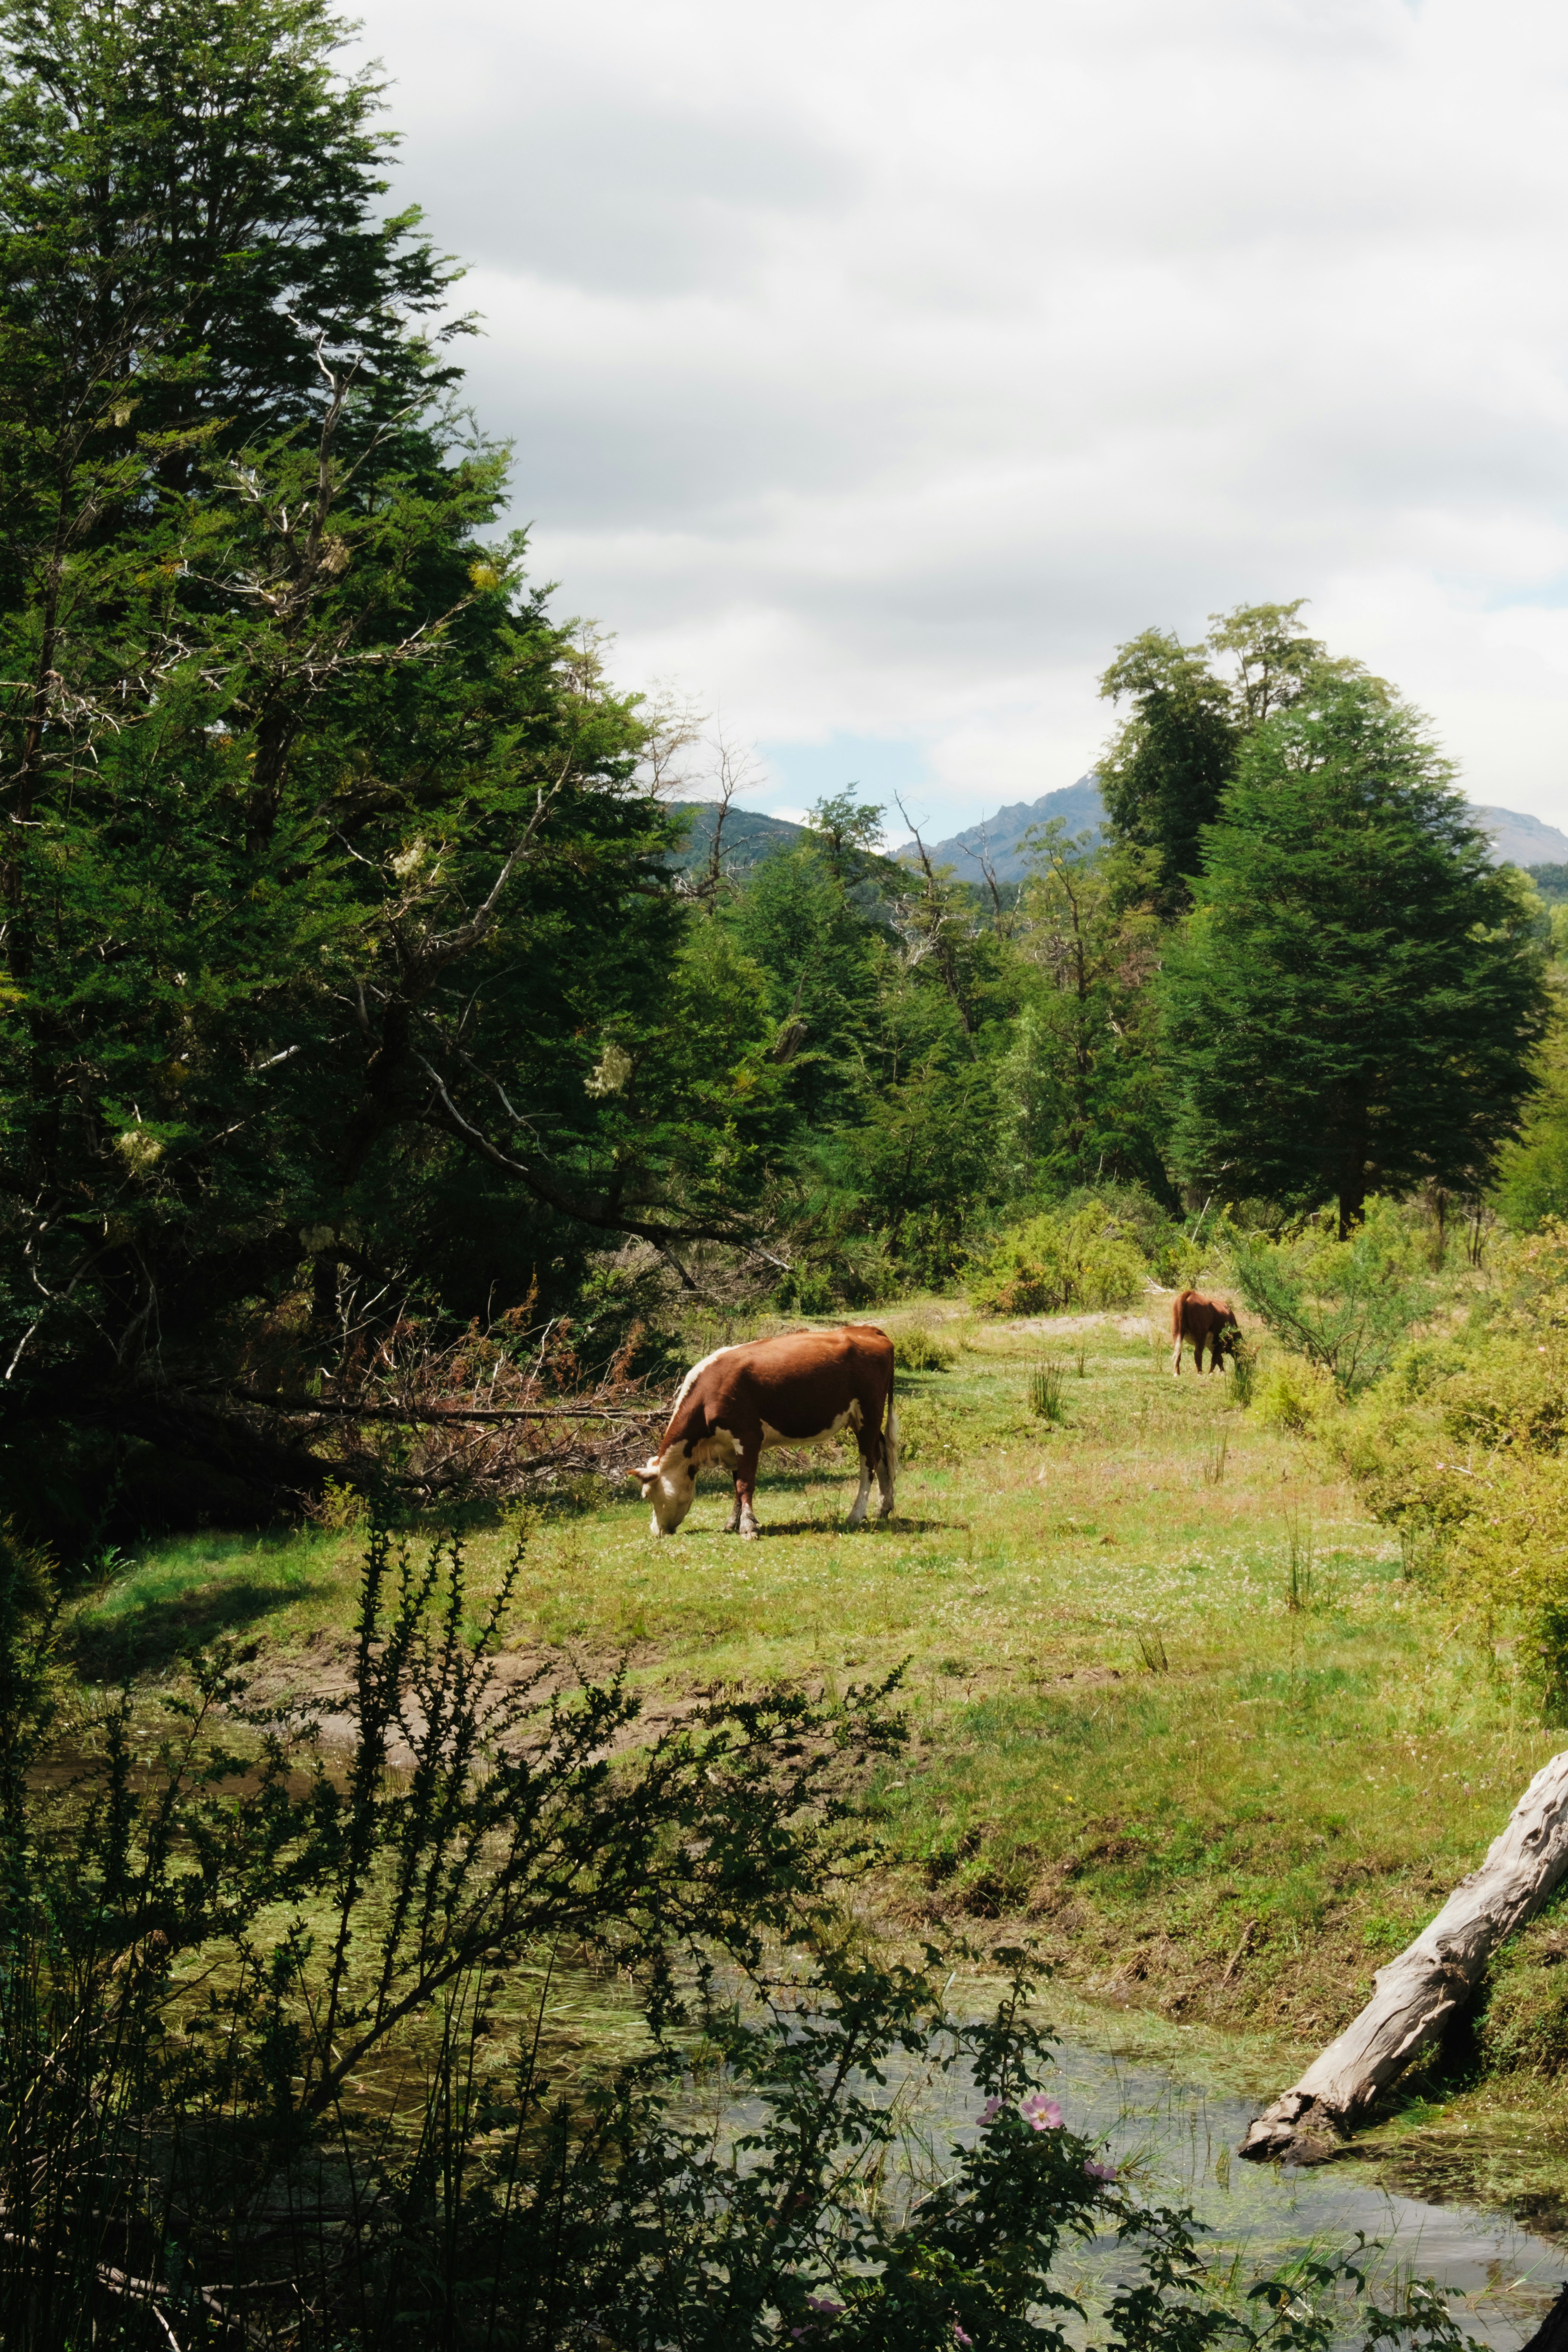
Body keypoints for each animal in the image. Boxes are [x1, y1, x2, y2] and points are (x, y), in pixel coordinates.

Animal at [633, 1324, 897, 1539]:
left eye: (648, 1495)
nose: (655, 1531)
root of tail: (869, 1330)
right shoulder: (731, 1446)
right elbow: (736, 1486)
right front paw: (733, 1523)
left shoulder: (748, 1437)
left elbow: (745, 1485)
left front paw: (748, 1527)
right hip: (862, 1419)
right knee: (882, 1452)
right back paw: (884, 1508)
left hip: (868, 1413)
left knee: (868, 1462)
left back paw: (856, 1514)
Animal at [1171, 1289, 1242, 1376]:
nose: (1240, 1371)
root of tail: (1189, 1293)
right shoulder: (1220, 1343)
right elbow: (1215, 1359)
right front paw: (1211, 1373)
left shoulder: (1212, 1346)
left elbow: (1219, 1360)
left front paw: (1222, 1373)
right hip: (1201, 1335)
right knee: (1198, 1354)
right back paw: (1200, 1373)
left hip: (1177, 1331)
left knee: (1178, 1352)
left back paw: (1177, 1373)